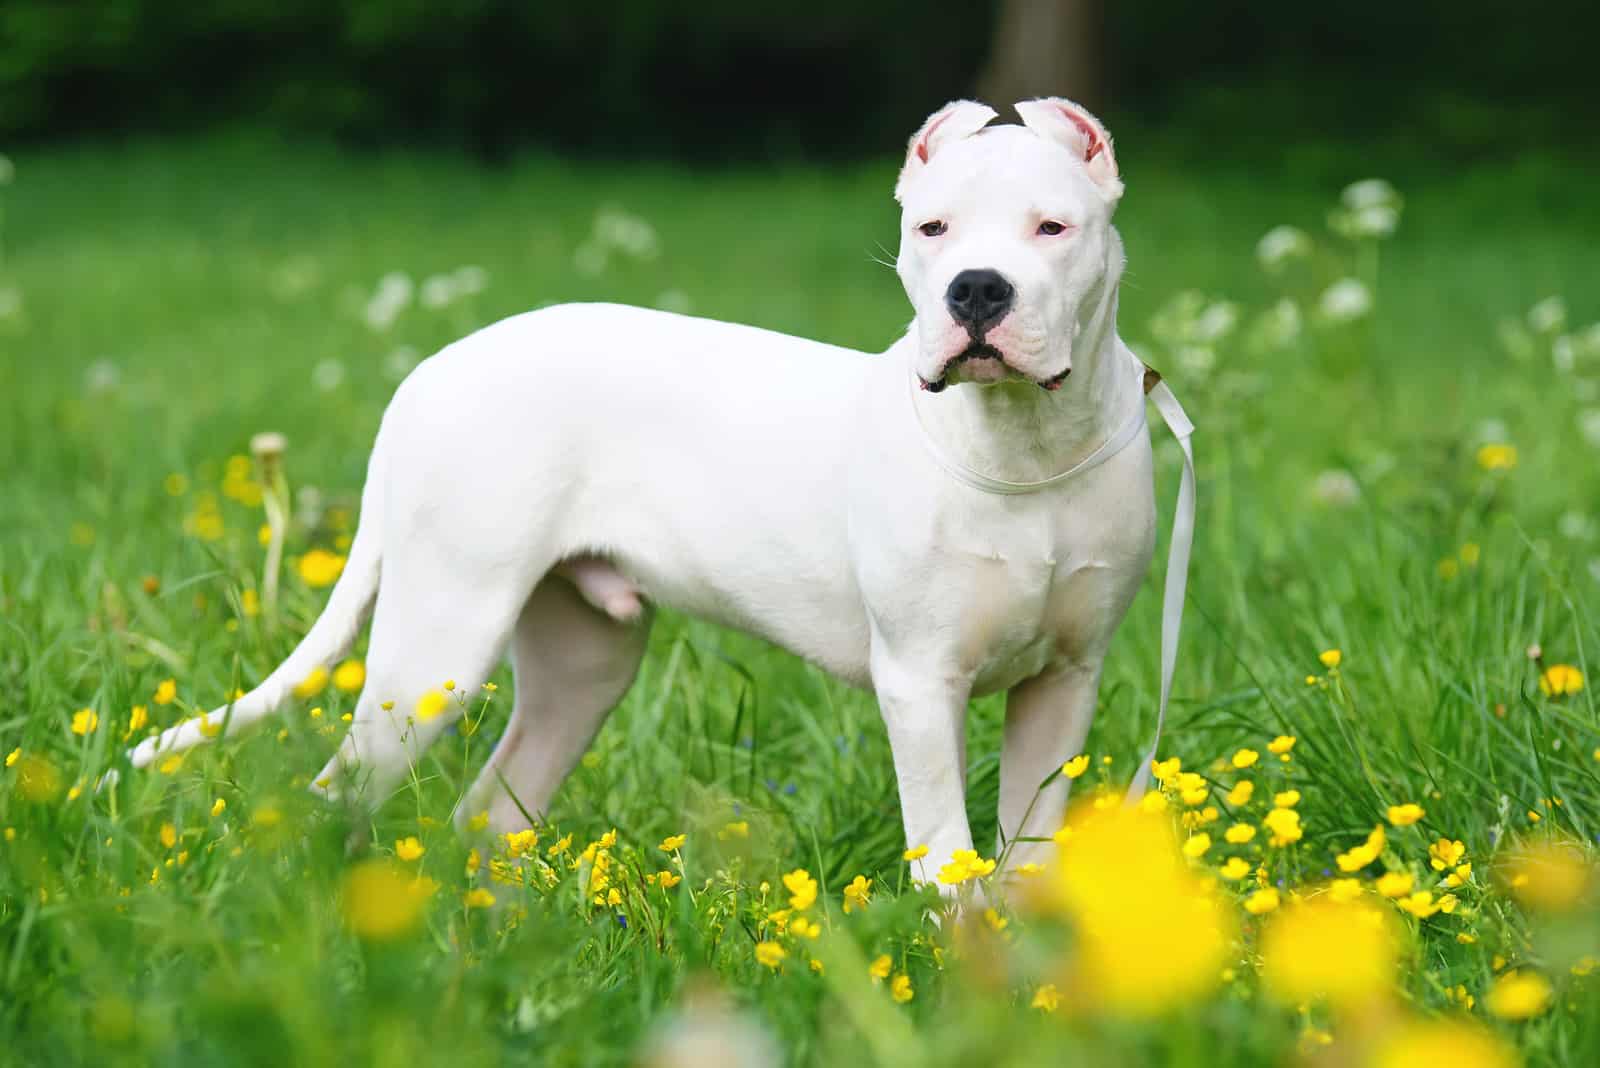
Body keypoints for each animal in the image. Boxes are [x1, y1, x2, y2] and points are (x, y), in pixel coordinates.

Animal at [134, 97, 1190, 882]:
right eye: (931, 229)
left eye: (1053, 228)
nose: (976, 290)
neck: (1025, 448)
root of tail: (430, 372)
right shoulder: (921, 685)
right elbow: (948, 862)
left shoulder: (1063, 686)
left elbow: (1024, 859)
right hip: (437, 649)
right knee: (337, 796)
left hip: (582, 664)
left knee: (487, 814)